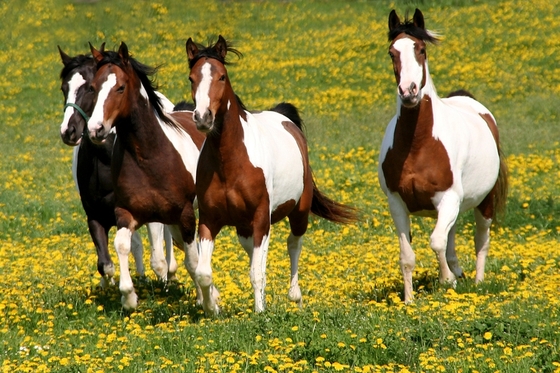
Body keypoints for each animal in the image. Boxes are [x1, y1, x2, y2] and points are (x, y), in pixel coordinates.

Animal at [57, 45, 179, 286]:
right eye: (64, 88)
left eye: (89, 88)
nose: (69, 131)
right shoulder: (96, 216)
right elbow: (106, 264)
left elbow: (158, 260)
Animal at [86, 40, 211, 308]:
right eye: (92, 88)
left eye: (120, 87)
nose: (95, 129)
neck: (149, 157)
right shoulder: (127, 212)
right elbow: (121, 244)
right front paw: (129, 297)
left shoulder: (186, 214)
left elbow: (193, 261)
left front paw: (207, 300)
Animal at [186, 35, 356, 314]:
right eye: (191, 78)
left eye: (221, 76)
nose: (203, 118)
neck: (229, 163)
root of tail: (283, 116)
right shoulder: (209, 221)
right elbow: (203, 272)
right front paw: (213, 308)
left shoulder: (260, 220)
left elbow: (257, 273)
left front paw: (260, 312)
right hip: (244, 227)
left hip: (298, 213)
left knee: (292, 244)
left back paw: (295, 296)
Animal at [376, 9, 508, 302]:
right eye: (392, 52)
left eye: (421, 49)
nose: (409, 92)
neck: (418, 145)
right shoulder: (397, 203)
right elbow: (407, 256)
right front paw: (409, 300)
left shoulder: (448, 198)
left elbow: (436, 241)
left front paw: (447, 279)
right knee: (451, 234)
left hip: (484, 201)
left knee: (480, 240)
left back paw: (477, 282)